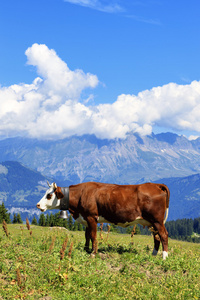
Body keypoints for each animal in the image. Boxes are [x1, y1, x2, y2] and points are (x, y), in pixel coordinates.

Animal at [36, 182, 170, 258]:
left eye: (49, 195)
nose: (38, 205)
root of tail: (154, 185)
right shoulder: (86, 219)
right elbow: (87, 235)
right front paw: (86, 250)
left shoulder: (91, 217)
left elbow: (93, 235)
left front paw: (93, 253)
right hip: (151, 222)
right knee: (156, 237)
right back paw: (153, 255)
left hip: (157, 220)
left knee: (163, 235)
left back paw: (164, 256)